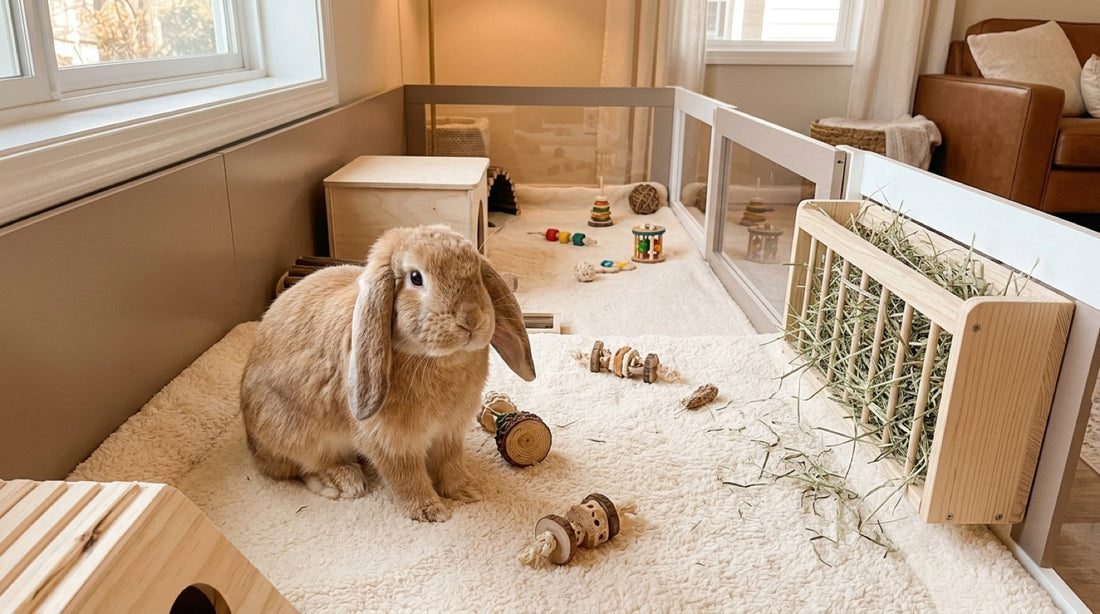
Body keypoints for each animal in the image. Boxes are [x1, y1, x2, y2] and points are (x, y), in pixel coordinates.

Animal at [240, 224, 535, 522]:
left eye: (476, 272)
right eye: (416, 278)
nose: (471, 320)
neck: (436, 359)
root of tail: (253, 445)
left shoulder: (449, 433)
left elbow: (449, 463)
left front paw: (466, 491)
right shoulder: (391, 442)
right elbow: (405, 476)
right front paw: (429, 511)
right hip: (294, 432)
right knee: (303, 465)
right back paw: (343, 481)